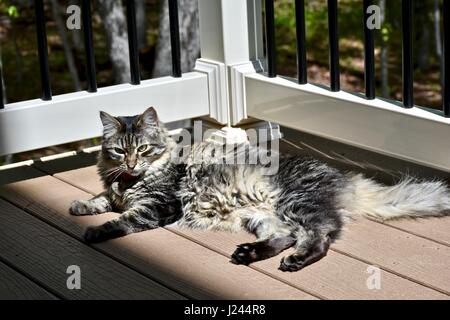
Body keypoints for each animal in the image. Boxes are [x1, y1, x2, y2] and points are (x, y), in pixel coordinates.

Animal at [68, 108, 448, 272]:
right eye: (120, 151)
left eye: (143, 150)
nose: (133, 164)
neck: (129, 181)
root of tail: (341, 177)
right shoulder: (115, 192)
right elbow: (101, 200)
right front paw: (80, 206)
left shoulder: (158, 206)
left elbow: (121, 220)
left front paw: (95, 230)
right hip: (261, 216)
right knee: (285, 236)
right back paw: (248, 253)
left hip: (296, 204)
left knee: (320, 236)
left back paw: (294, 261)